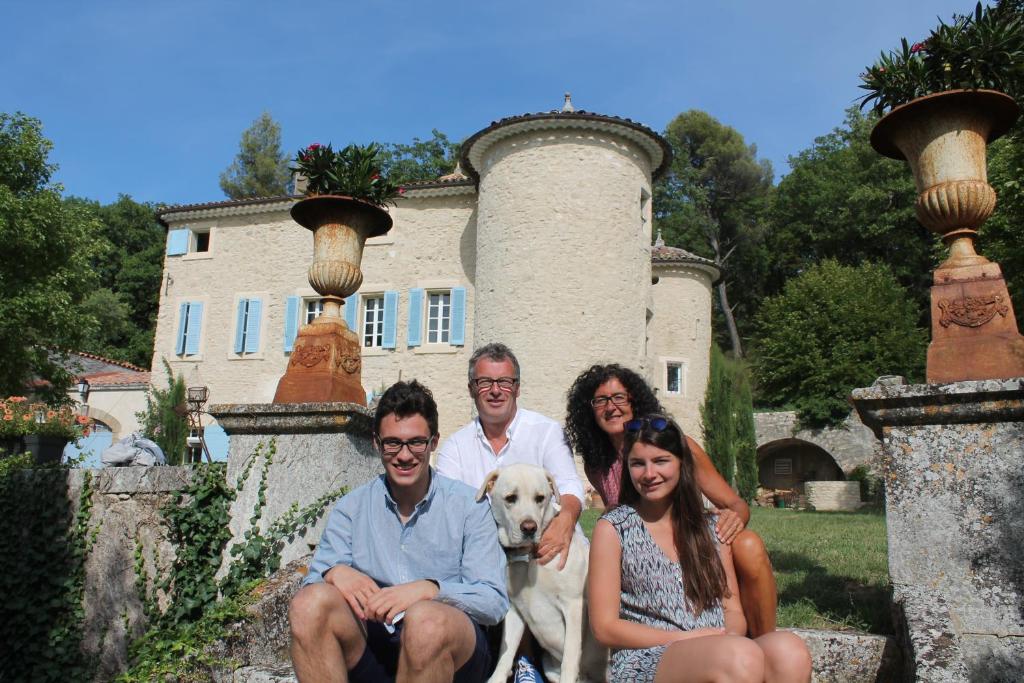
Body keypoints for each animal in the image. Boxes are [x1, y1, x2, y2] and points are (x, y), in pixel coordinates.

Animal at [477, 464, 606, 683]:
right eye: (510, 498)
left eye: (540, 498)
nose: (529, 528)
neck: (529, 558)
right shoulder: (514, 610)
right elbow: (506, 653)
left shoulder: (574, 605)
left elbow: (570, 658)